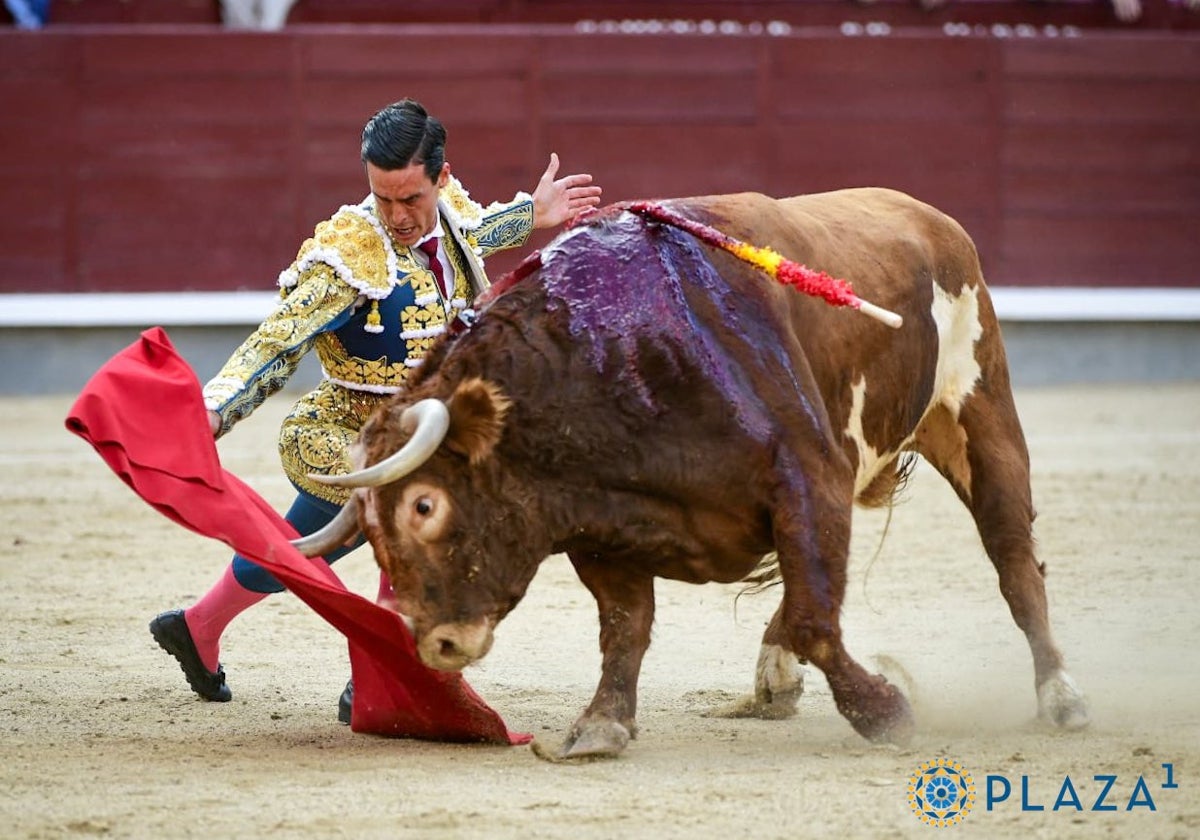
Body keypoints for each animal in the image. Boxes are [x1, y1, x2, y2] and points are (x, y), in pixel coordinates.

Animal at [297, 187, 1089, 758]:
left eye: (424, 506)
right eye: (372, 532)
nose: (437, 646)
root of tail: (929, 216)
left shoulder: (810, 477)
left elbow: (815, 618)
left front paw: (885, 712)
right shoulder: (602, 528)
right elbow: (627, 627)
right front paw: (600, 727)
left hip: (981, 409)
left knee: (1013, 560)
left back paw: (1062, 697)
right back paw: (773, 682)